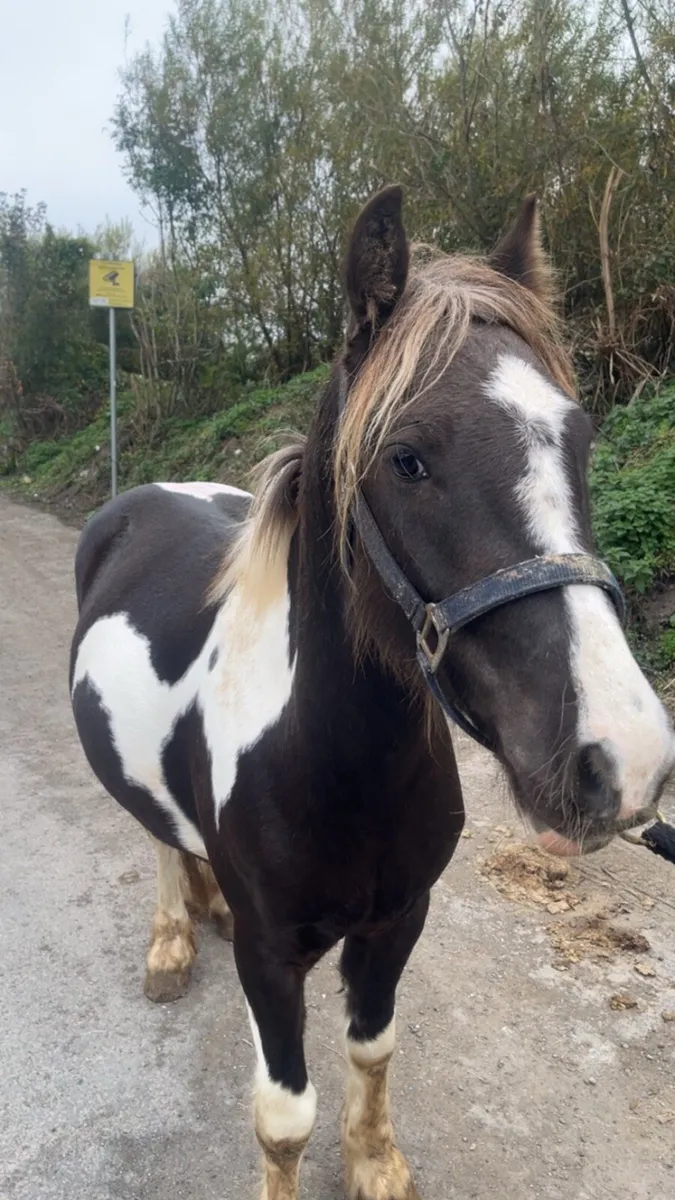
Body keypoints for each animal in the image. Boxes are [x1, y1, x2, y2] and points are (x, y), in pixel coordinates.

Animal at [69, 187, 675, 1200]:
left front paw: (375, 1162)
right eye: (406, 459)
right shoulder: (273, 960)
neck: (332, 764)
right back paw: (171, 942)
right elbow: (283, 1118)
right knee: (154, 836)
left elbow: (372, 1050)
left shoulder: (397, 923)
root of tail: (141, 494)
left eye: (579, 438)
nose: (619, 760)